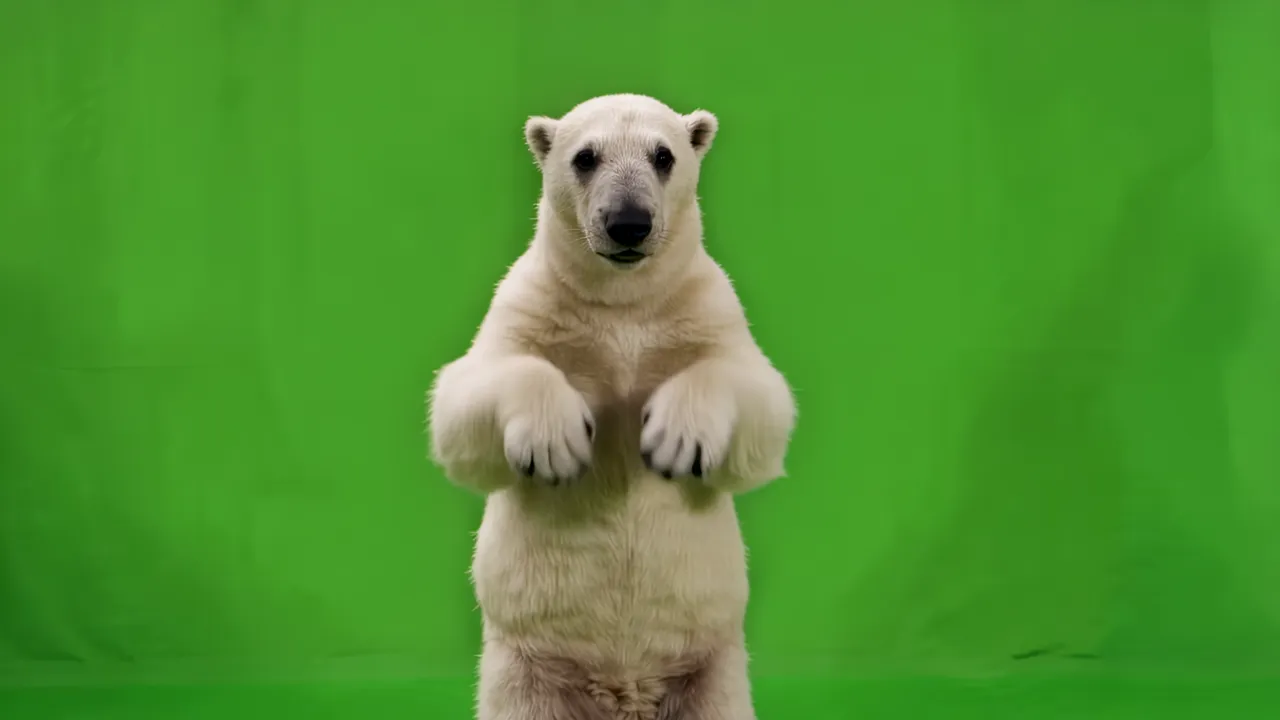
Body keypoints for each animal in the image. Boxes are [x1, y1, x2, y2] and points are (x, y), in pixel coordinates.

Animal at [426, 93, 797, 720]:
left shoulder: (707, 304)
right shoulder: (529, 300)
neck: (624, 301)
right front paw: (555, 441)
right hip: (524, 672)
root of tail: (625, 696)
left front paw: (679, 437)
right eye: (585, 157)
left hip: (711, 668)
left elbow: (762, 402)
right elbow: (463, 403)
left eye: (663, 155)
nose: (629, 223)